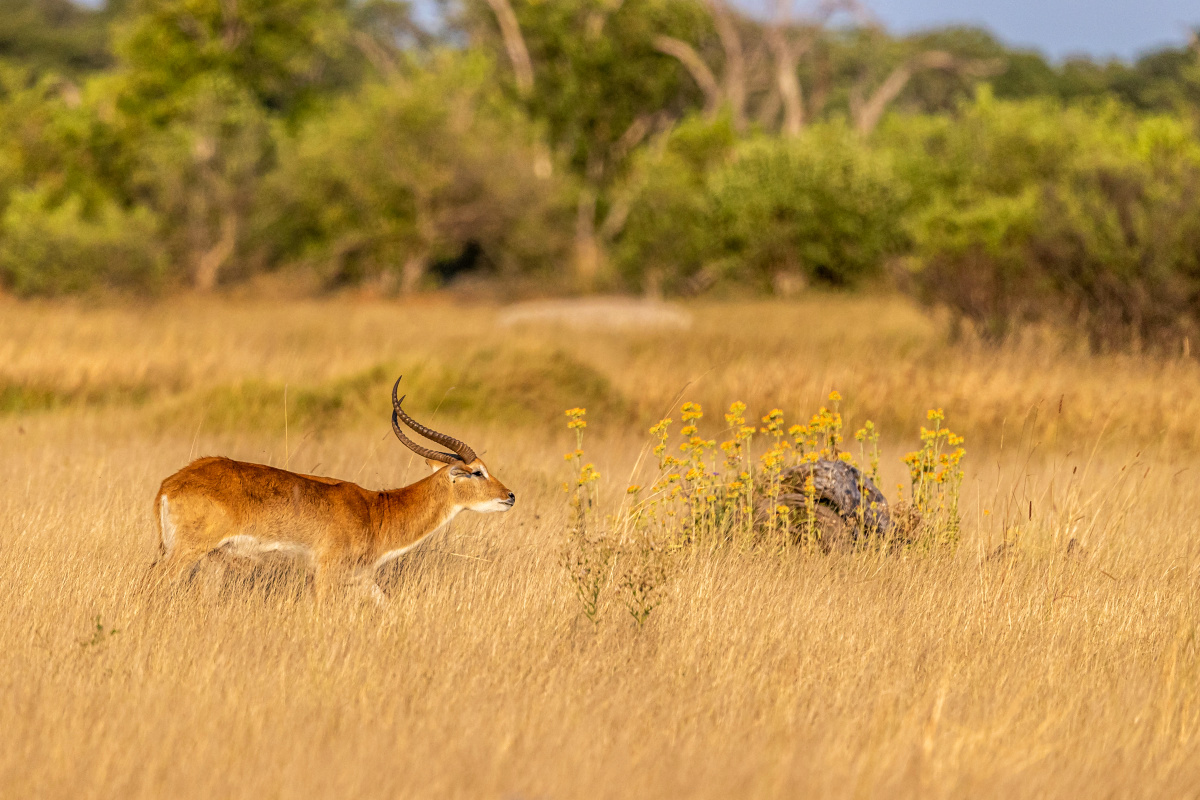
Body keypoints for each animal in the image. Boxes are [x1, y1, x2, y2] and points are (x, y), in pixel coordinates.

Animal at [151, 379, 516, 604]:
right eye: (477, 471)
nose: (510, 496)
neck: (376, 512)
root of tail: (170, 484)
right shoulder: (326, 573)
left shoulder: (362, 579)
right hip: (186, 552)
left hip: (213, 560)